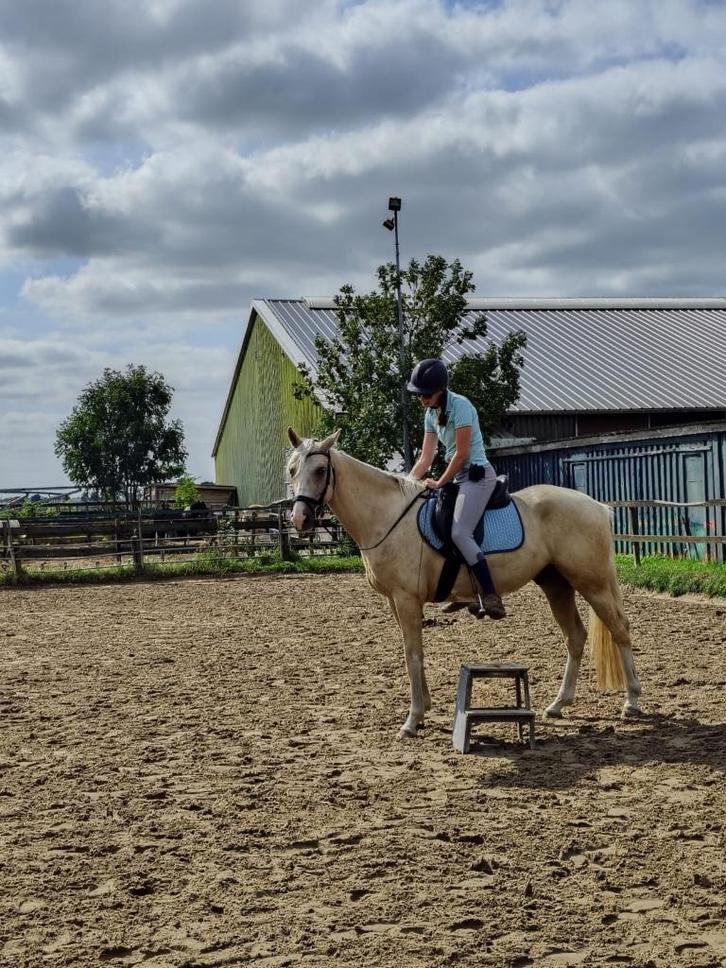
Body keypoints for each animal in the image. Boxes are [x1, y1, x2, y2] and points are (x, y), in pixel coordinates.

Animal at [286, 428, 642, 740]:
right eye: (292, 469)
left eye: (320, 470)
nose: (300, 519)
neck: (388, 517)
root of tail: (597, 506)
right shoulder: (395, 602)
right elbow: (414, 653)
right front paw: (424, 709)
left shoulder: (406, 599)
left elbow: (412, 655)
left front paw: (412, 720)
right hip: (556, 584)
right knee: (575, 636)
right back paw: (559, 704)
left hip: (592, 583)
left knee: (620, 630)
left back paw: (632, 702)